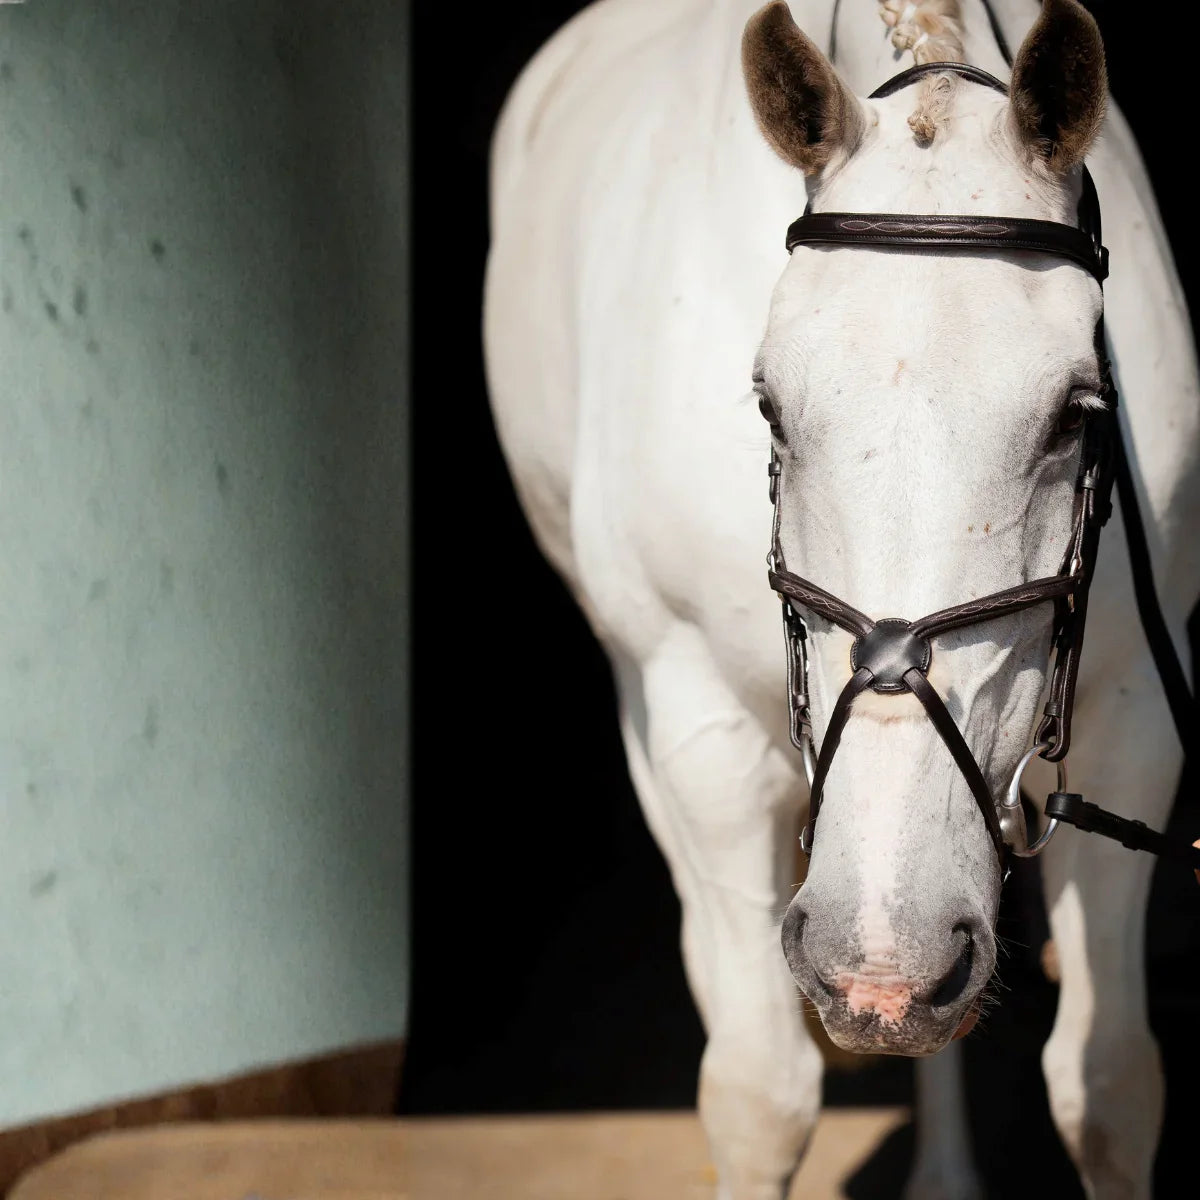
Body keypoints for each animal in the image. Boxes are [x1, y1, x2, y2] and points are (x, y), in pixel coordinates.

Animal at [483, 1, 1200, 1196]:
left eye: (1078, 411)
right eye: (768, 406)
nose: (876, 966)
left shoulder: (1132, 714)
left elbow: (1108, 1087)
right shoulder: (706, 743)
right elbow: (759, 1100)